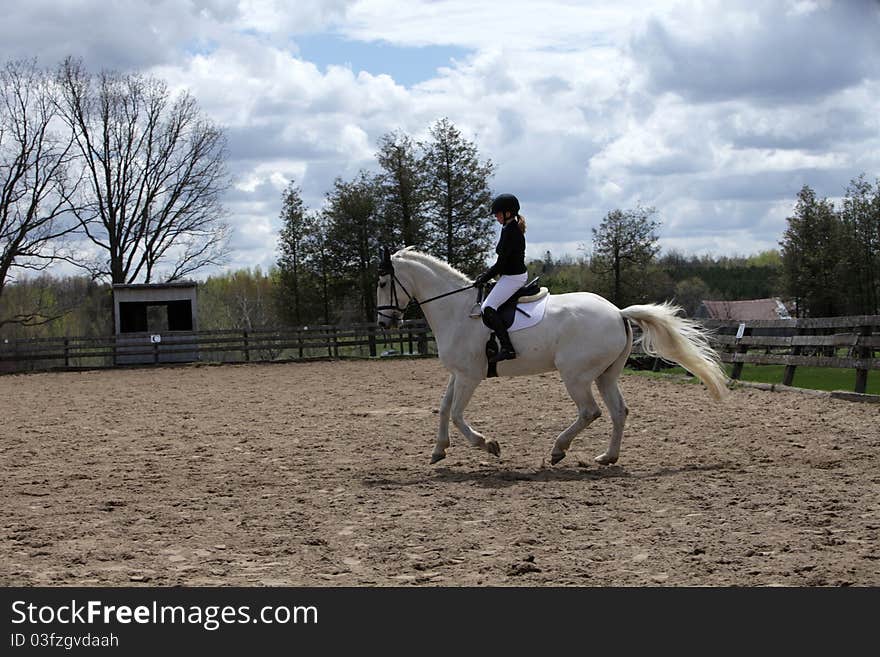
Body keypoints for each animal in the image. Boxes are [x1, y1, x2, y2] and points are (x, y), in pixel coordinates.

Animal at [378, 246, 728, 466]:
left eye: (382, 282)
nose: (384, 323)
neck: (456, 309)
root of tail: (617, 312)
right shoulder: (458, 374)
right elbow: (443, 408)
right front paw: (439, 450)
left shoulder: (470, 376)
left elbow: (455, 414)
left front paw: (488, 445)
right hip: (606, 375)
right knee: (618, 411)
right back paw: (607, 457)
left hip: (575, 375)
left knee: (590, 412)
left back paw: (559, 450)